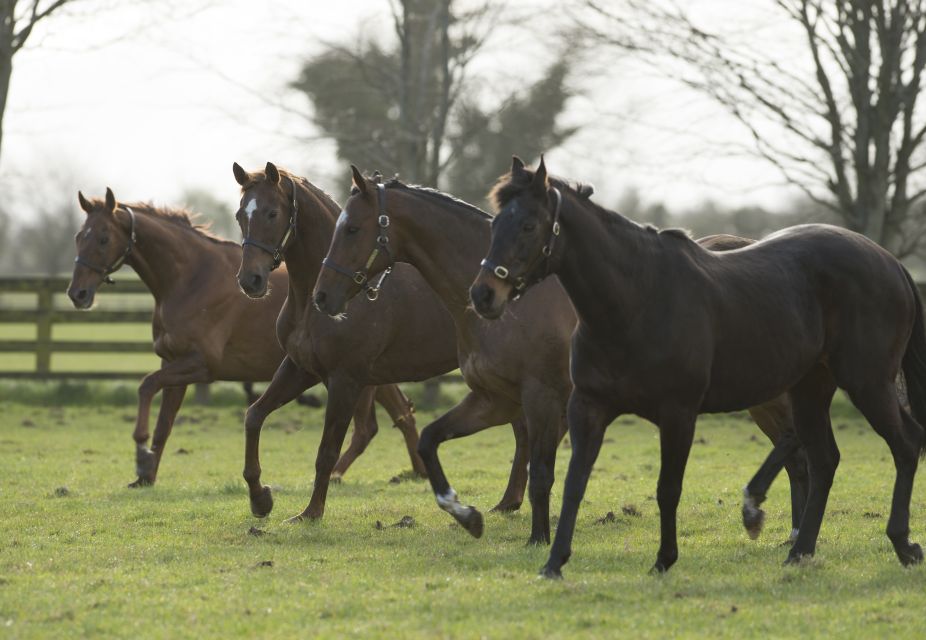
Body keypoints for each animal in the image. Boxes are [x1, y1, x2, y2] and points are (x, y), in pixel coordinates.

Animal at [68, 188, 424, 488]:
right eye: (78, 237)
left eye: (103, 238)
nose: (77, 293)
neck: (190, 279)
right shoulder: (174, 364)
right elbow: (164, 424)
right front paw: (145, 473)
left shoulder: (200, 366)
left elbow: (145, 386)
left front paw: (141, 451)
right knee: (395, 418)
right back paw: (414, 472)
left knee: (373, 426)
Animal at [231, 161, 536, 524]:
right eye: (240, 214)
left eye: (273, 213)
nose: (251, 280)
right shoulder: (300, 368)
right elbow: (254, 415)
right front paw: (260, 498)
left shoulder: (345, 379)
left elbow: (327, 450)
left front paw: (311, 512)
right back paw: (508, 501)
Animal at [314, 165, 812, 544]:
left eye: (352, 228)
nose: (322, 297)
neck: (513, 305)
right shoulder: (493, 401)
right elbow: (431, 440)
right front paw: (467, 515)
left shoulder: (541, 399)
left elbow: (541, 473)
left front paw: (538, 538)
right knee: (798, 458)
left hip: (767, 399)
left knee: (801, 455)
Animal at [474, 158, 926, 576]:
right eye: (495, 224)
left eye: (529, 225)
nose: (483, 295)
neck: (635, 301)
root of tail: (891, 263)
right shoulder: (588, 407)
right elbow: (574, 484)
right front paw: (554, 562)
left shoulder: (678, 413)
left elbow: (668, 488)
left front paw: (664, 560)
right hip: (809, 389)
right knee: (825, 460)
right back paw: (799, 552)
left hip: (867, 383)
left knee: (905, 446)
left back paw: (902, 544)